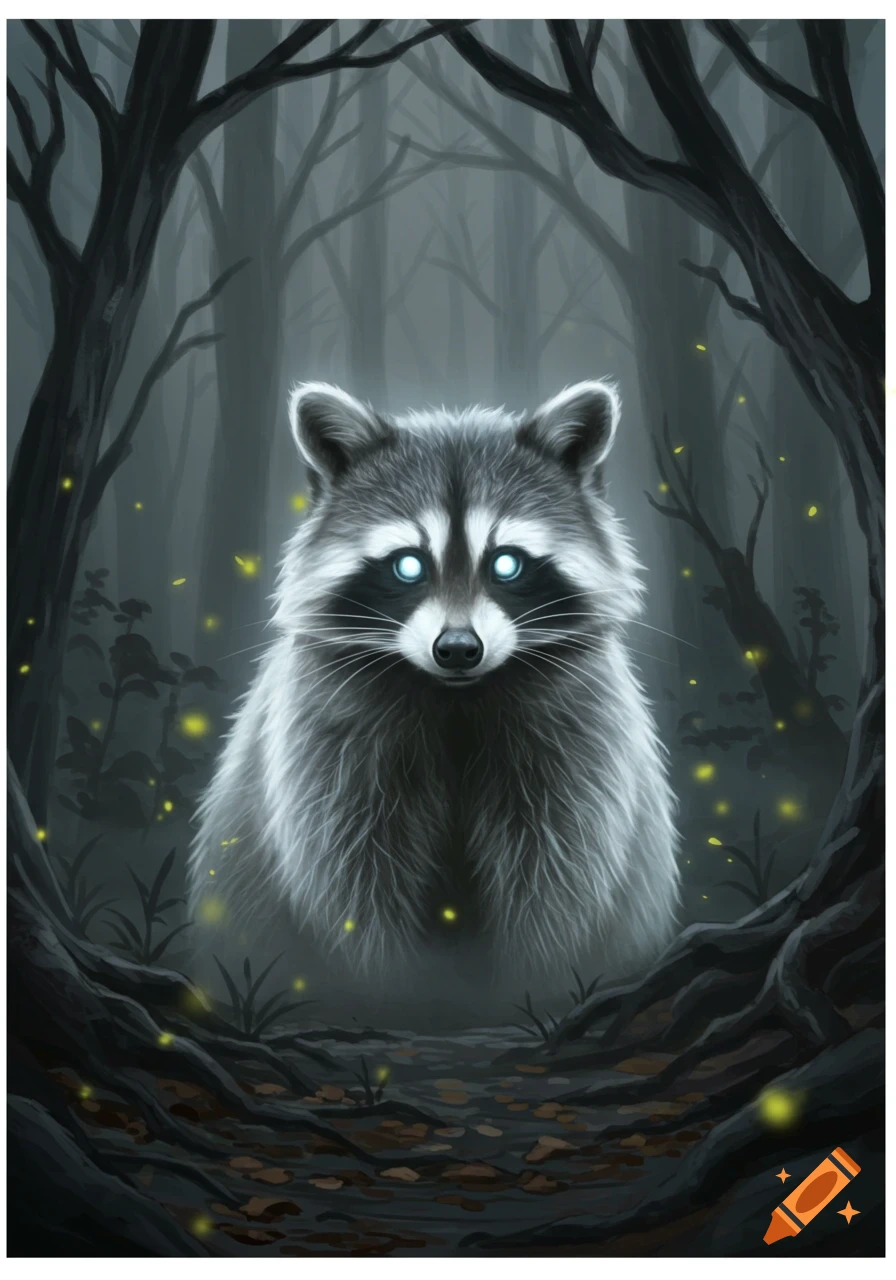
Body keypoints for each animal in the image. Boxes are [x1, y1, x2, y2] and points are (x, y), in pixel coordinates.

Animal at [188, 380, 680, 1029]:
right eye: (407, 564)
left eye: (506, 562)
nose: (458, 649)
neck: (456, 700)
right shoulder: (326, 738)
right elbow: (351, 880)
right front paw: (391, 995)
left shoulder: (579, 728)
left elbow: (558, 874)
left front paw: (534, 986)